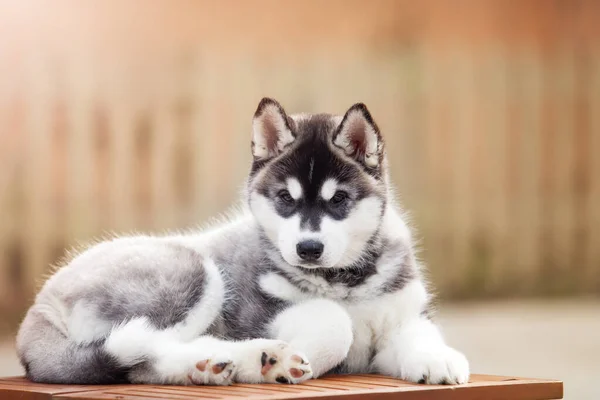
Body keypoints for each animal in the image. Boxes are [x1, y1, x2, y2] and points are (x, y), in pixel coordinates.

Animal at [16, 97, 472, 384]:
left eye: (339, 199)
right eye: (285, 198)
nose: (308, 249)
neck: (343, 281)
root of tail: (38, 309)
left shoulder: (404, 314)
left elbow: (419, 335)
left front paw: (437, 359)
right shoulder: (256, 312)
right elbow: (334, 323)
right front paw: (295, 353)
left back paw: (225, 364)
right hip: (192, 271)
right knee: (147, 356)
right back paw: (258, 360)